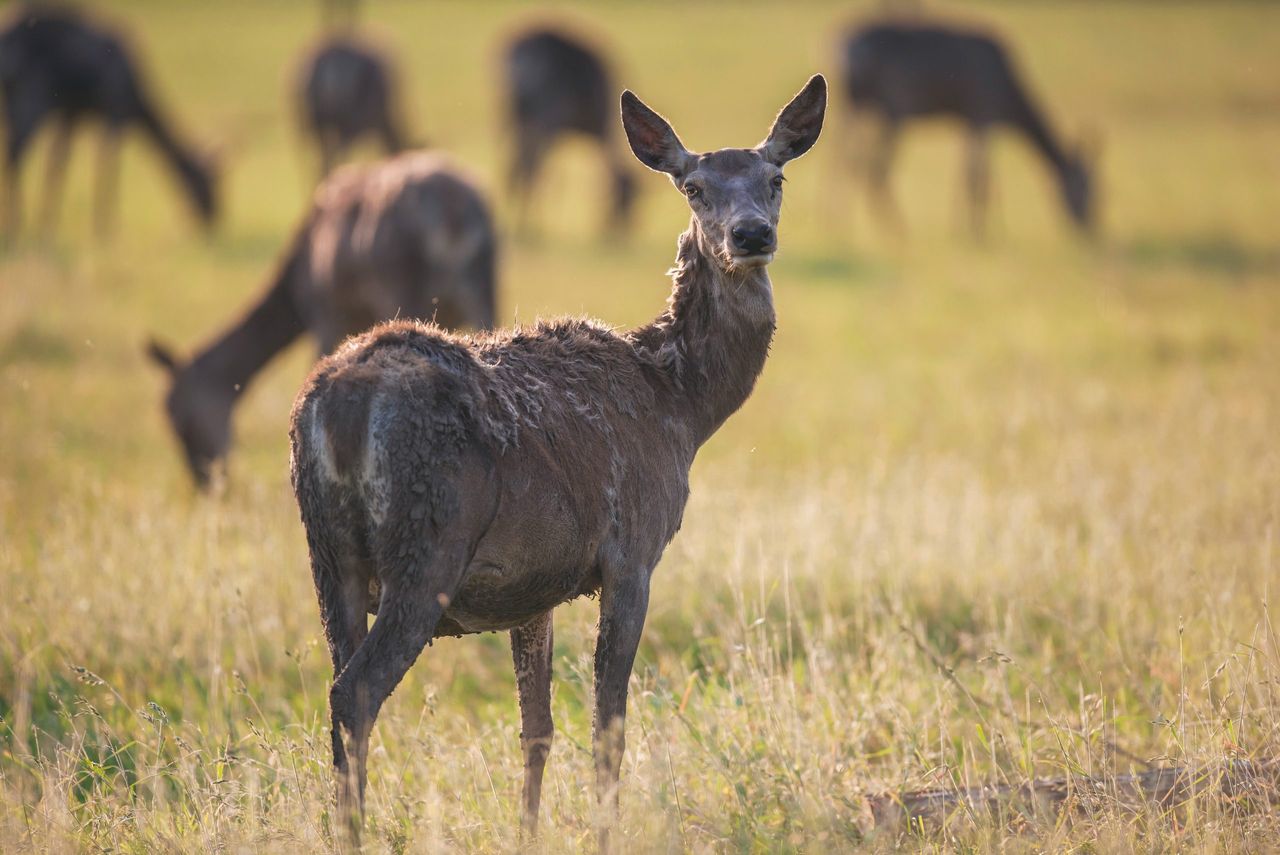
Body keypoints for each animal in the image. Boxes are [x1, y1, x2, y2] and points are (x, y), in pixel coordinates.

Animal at [0, 4, 217, 238]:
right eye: (206, 183)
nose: (214, 218)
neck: (137, 98)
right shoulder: (115, 111)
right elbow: (107, 163)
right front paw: (105, 229)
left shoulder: (72, 114)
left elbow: (58, 163)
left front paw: (47, 227)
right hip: (31, 99)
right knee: (14, 153)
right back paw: (14, 226)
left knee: (13, 152)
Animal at [148, 152, 495, 489]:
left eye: (178, 418)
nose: (205, 479)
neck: (294, 287)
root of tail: (454, 214)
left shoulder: (324, 313)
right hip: (484, 284)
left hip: (400, 285)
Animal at [288, 75, 826, 848]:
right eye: (694, 187)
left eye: (775, 179)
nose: (751, 234)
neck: (680, 402)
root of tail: (341, 409)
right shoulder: (633, 551)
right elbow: (609, 727)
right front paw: (606, 834)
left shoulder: (532, 584)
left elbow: (536, 728)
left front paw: (528, 834)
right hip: (427, 546)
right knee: (354, 690)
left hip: (327, 556)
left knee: (338, 683)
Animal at [504, 27, 636, 236]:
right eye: (625, 197)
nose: (621, 231)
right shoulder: (557, 128)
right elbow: (550, 174)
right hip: (546, 114)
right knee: (530, 165)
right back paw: (529, 226)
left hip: (510, 114)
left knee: (513, 164)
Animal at [838, 18, 1096, 238]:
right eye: (1089, 188)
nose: (1091, 231)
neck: (1010, 98)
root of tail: (850, 49)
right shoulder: (984, 114)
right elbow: (977, 177)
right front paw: (978, 233)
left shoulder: (967, 122)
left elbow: (965, 174)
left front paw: (962, 229)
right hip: (896, 107)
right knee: (875, 168)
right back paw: (896, 230)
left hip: (857, 106)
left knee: (852, 161)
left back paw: (848, 225)